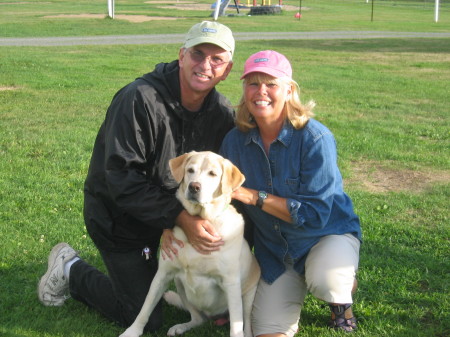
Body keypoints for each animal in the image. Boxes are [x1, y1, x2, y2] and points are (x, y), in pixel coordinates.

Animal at [119, 151, 260, 334]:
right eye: (190, 170)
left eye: (212, 174)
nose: (194, 187)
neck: (202, 219)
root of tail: (215, 317)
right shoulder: (163, 274)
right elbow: (145, 308)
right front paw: (132, 331)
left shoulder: (231, 284)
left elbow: (236, 328)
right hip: (180, 286)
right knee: (198, 319)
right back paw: (180, 327)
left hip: (249, 295)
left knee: (246, 323)